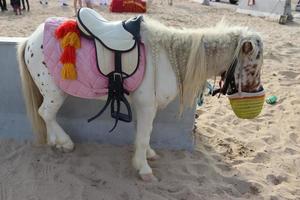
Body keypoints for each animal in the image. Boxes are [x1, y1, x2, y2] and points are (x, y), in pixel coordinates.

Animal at [16, 16, 262, 181]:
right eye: (253, 65)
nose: (255, 92)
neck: (168, 55)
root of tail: (30, 39)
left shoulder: (142, 107)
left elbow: (144, 134)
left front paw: (148, 155)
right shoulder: (146, 106)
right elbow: (143, 137)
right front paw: (144, 169)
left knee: (47, 116)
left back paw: (57, 142)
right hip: (55, 93)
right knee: (45, 114)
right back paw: (63, 142)